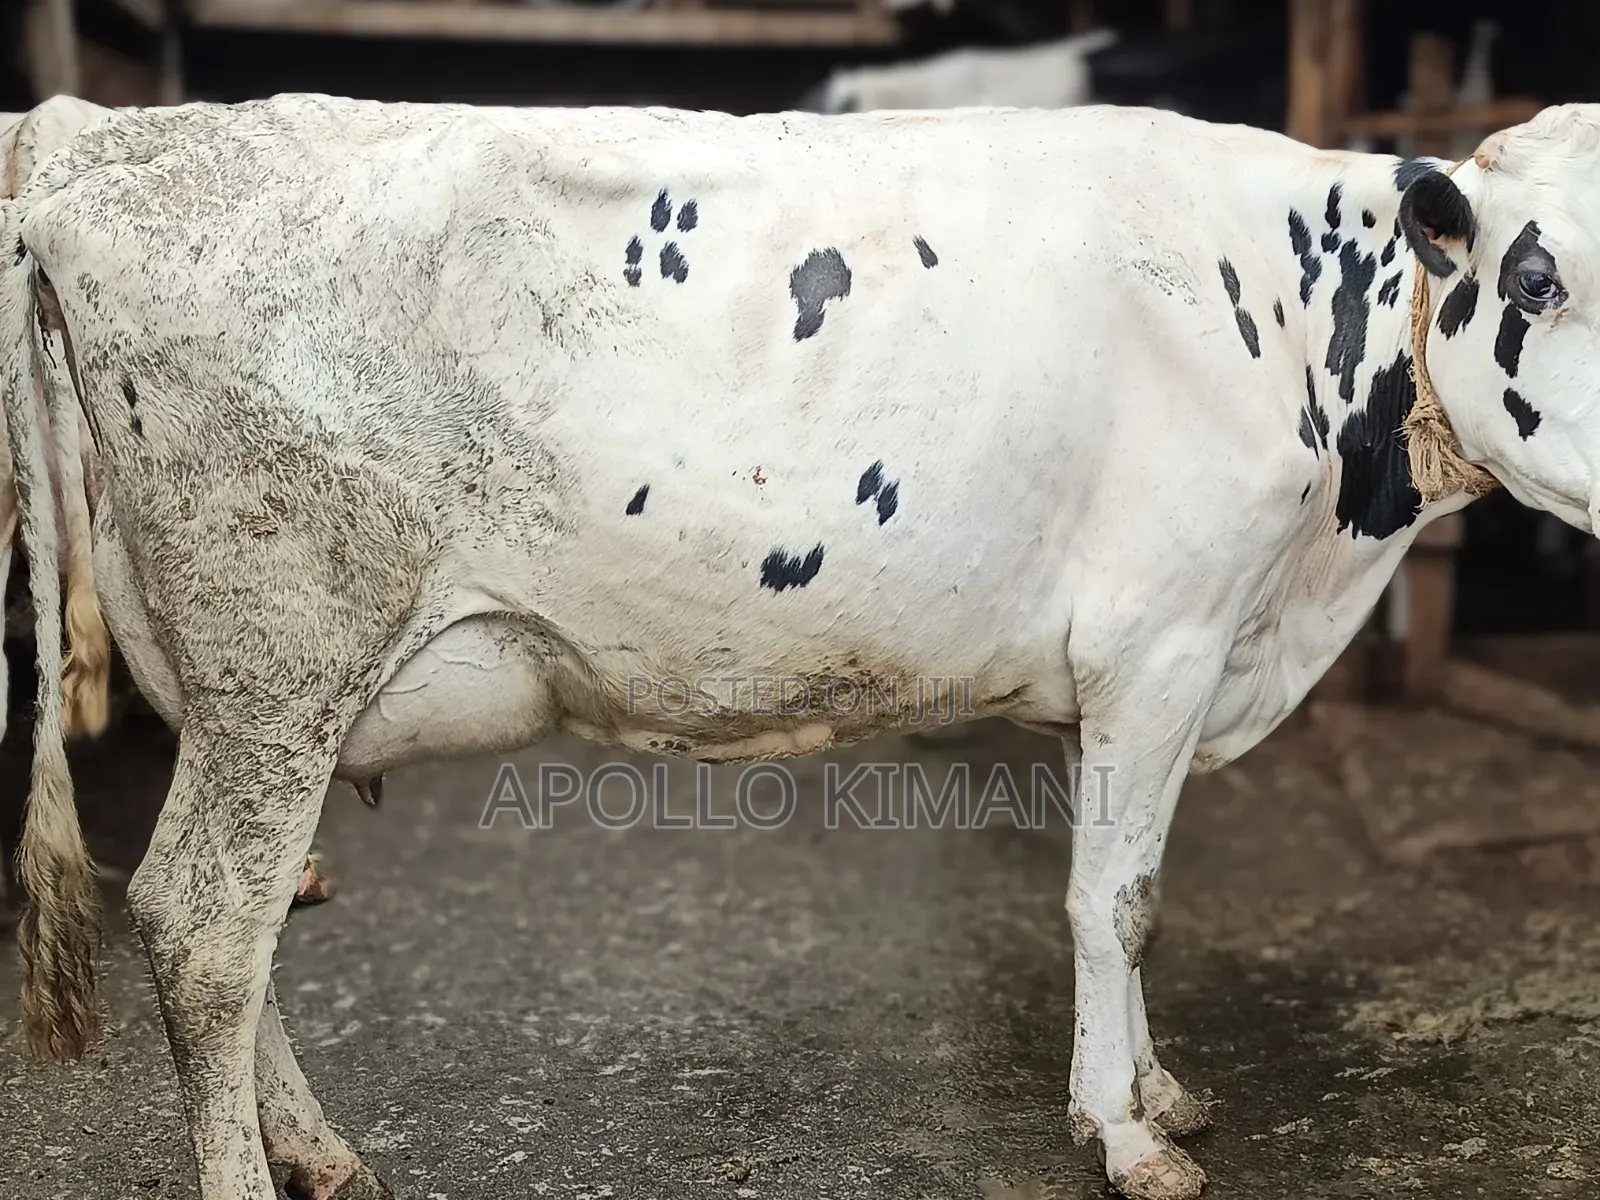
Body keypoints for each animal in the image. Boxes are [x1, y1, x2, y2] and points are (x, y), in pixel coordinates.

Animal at [3, 94, 1594, 1199]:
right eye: (1534, 280)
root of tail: (98, 141)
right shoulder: (1163, 640)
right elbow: (1120, 903)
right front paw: (1127, 1136)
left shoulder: (1143, 677)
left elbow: (1121, 892)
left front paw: (1148, 1088)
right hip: (282, 656)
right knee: (206, 925)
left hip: (249, 691)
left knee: (238, 922)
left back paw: (318, 1150)